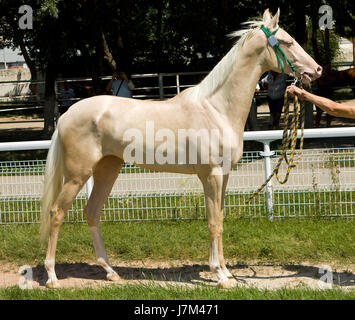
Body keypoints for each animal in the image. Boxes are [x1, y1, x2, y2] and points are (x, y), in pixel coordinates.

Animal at [39, 8, 322, 288]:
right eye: (287, 41)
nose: (317, 69)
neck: (217, 109)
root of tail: (66, 115)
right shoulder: (211, 175)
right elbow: (213, 223)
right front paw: (220, 275)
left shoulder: (224, 176)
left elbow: (220, 220)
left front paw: (227, 273)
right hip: (77, 175)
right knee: (56, 213)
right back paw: (52, 277)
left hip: (108, 169)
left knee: (92, 213)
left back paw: (110, 272)